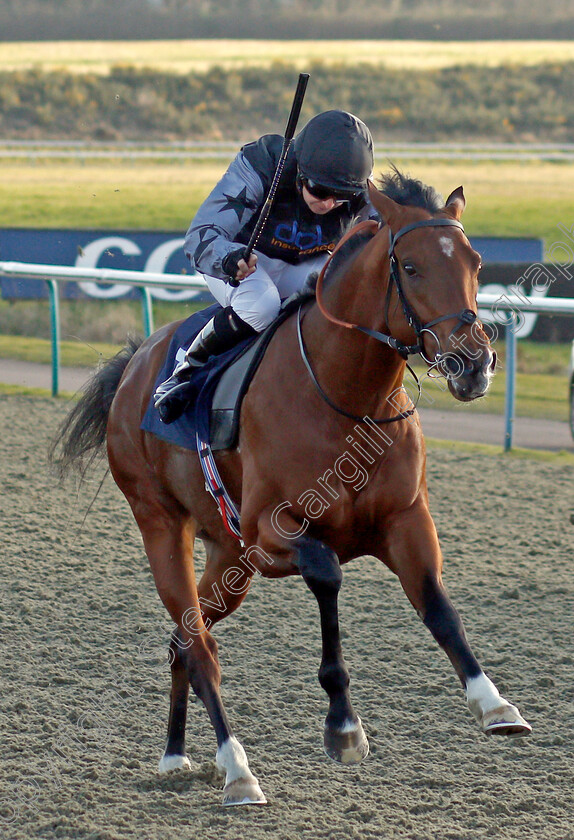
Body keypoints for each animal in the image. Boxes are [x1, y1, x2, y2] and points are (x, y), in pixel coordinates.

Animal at [54, 174, 532, 812]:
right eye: (409, 266)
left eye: (476, 261)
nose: (475, 362)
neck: (346, 395)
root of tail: (135, 367)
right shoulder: (270, 532)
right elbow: (326, 573)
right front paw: (343, 726)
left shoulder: (406, 519)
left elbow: (438, 606)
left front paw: (494, 703)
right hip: (163, 526)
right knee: (199, 647)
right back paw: (237, 771)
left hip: (228, 560)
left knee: (184, 638)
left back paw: (176, 756)